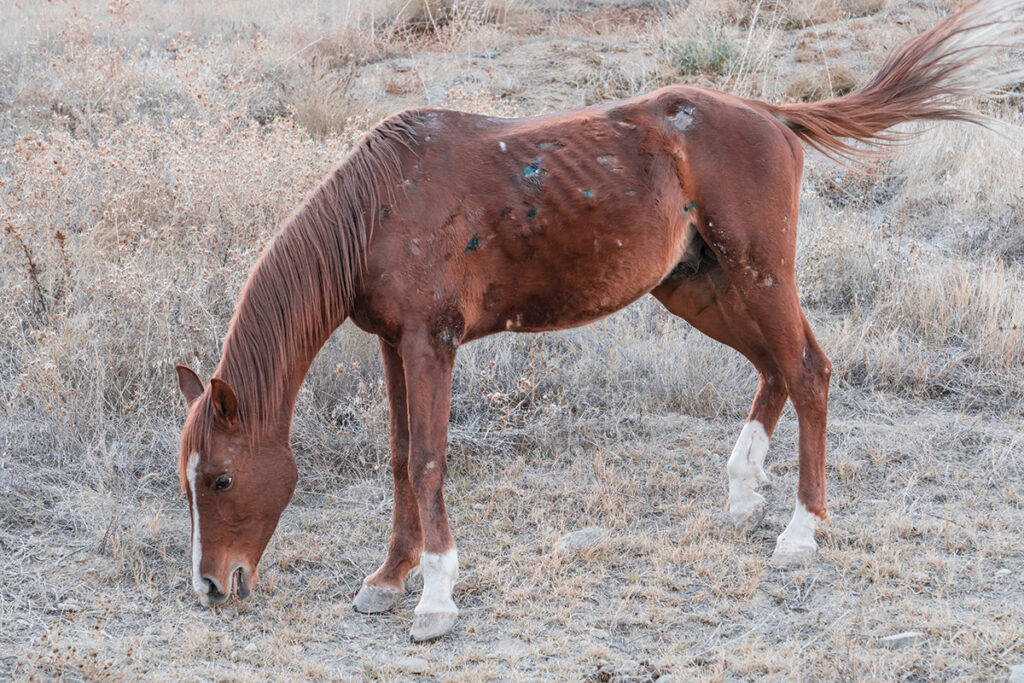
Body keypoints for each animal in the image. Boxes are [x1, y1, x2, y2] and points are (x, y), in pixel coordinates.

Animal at [176, 1, 1022, 641]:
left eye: (221, 478)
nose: (212, 586)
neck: (379, 205)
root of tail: (767, 112)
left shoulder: (431, 344)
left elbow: (428, 461)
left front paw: (436, 597)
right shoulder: (392, 343)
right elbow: (397, 458)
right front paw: (388, 577)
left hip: (759, 273)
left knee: (808, 370)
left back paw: (800, 530)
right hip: (698, 288)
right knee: (776, 367)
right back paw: (744, 490)